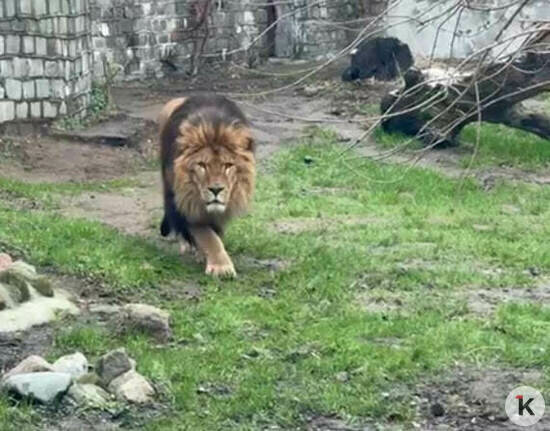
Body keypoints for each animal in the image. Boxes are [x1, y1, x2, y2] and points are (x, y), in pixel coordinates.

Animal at [157, 94, 256, 278]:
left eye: (228, 165)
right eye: (202, 165)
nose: (216, 190)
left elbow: (215, 234)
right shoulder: (187, 204)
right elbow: (208, 237)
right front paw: (221, 267)